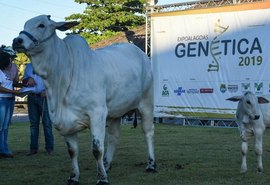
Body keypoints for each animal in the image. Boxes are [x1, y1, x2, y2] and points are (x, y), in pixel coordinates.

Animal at [12, 14, 156, 185]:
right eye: (25, 25)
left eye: (41, 25)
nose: (17, 41)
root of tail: (141, 54)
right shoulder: (65, 121)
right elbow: (72, 151)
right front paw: (74, 177)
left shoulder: (97, 113)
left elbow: (97, 149)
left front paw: (102, 179)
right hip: (116, 112)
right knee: (113, 137)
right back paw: (107, 164)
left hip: (146, 103)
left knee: (148, 132)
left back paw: (151, 164)